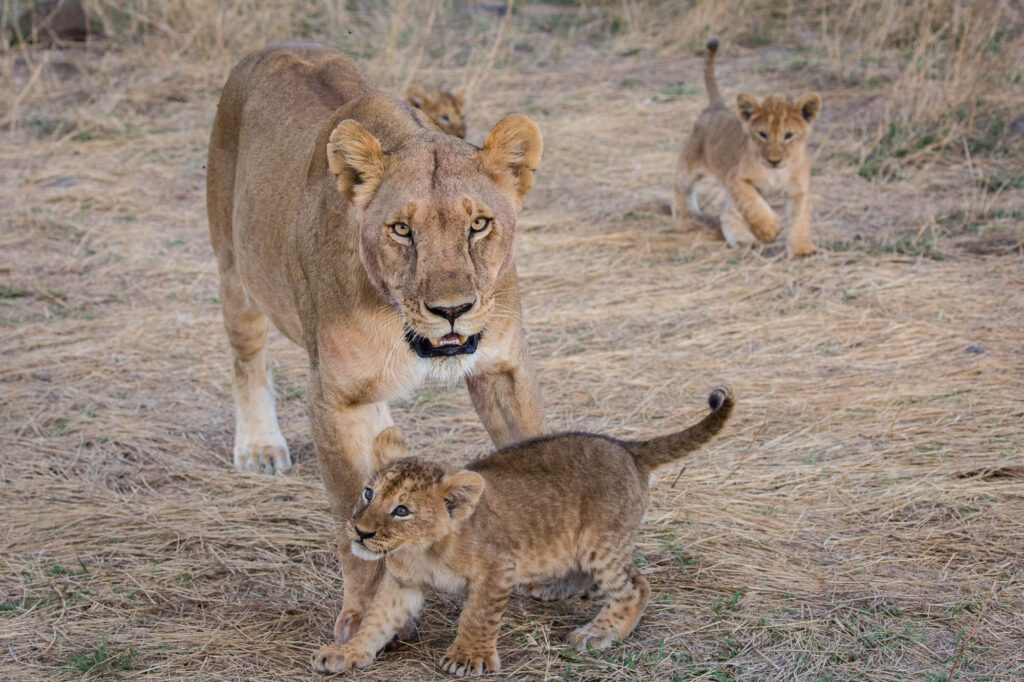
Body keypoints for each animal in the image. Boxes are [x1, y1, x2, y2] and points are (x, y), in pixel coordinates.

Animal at [206, 43, 545, 648]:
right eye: (401, 230)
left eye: (479, 225)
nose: (452, 310)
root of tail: (273, 47)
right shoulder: (333, 399)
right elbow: (354, 522)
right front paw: (366, 617)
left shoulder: (503, 366)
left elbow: (533, 446)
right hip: (235, 270)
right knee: (247, 358)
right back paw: (261, 446)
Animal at [311, 388, 735, 675]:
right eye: (369, 493)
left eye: (402, 510)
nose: (360, 532)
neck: (421, 549)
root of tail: (628, 448)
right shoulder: (402, 584)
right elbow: (375, 621)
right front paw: (347, 654)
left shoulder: (499, 568)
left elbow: (478, 615)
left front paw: (467, 658)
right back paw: (551, 588)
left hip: (600, 542)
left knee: (634, 586)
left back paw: (598, 633)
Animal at [672, 38, 823, 257]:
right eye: (762, 134)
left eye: (788, 136)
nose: (774, 160)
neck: (776, 172)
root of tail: (716, 107)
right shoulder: (736, 179)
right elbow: (754, 206)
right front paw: (768, 229)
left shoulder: (799, 190)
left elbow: (801, 219)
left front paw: (803, 250)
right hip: (689, 166)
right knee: (680, 188)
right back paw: (685, 220)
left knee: (727, 214)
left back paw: (744, 241)